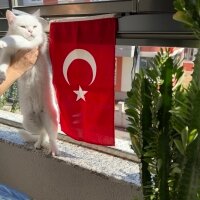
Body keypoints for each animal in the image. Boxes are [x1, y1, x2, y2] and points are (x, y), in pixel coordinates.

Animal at [0, 10, 59, 155]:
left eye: (35, 26)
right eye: (23, 27)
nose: (31, 31)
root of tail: (41, 116)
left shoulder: (31, 44)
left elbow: (17, 39)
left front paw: (2, 41)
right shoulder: (8, 55)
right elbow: (4, 62)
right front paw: (2, 74)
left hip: (52, 119)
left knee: (51, 136)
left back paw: (53, 149)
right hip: (28, 122)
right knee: (42, 132)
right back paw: (38, 143)